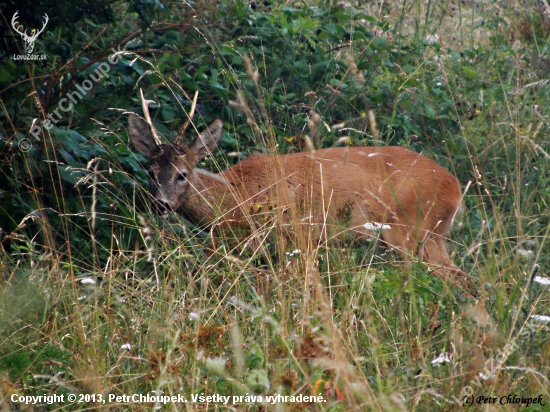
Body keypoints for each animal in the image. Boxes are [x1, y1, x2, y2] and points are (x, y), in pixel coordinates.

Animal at [128, 112, 466, 280]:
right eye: (150, 172)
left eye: (182, 174)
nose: (161, 204)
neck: (235, 196)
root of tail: (455, 185)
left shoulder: (288, 239)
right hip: (433, 235)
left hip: (410, 230)